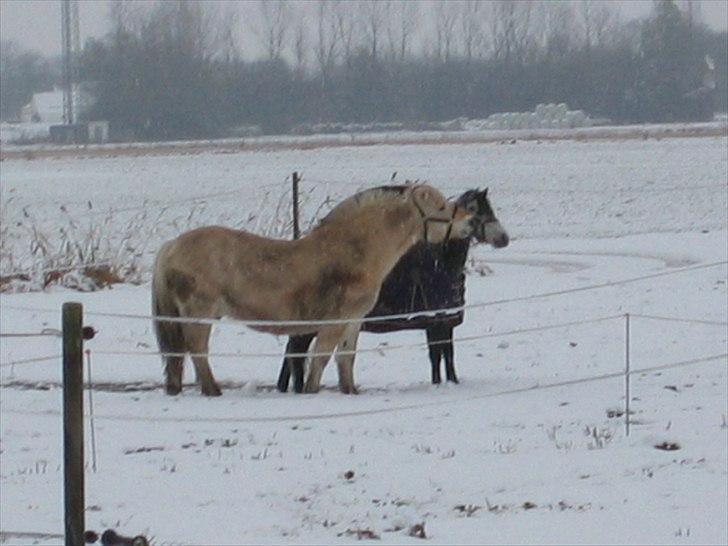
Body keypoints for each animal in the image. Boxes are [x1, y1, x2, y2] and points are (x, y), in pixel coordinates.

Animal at [276, 188, 510, 392]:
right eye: (476, 210)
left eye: (490, 209)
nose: (503, 238)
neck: (441, 265)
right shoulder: (438, 322)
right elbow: (440, 356)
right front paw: (444, 383)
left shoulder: (442, 323)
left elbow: (443, 355)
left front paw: (447, 382)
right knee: (296, 354)